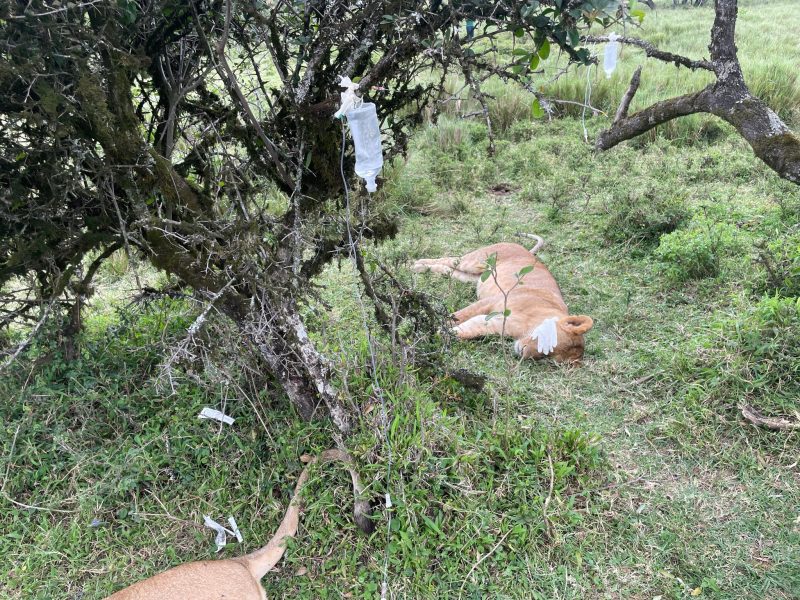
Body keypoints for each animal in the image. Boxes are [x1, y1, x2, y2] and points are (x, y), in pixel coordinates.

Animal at [412, 235, 593, 363]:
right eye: (548, 345)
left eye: (547, 358)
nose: (523, 353)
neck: (530, 324)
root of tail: (526, 250)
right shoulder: (492, 301)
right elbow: (459, 315)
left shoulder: (495, 322)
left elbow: (466, 330)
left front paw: (438, 333)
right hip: (475, 261)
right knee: (449, 259)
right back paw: (414, 264)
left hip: (472, 277)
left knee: (448, 270)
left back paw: (420, 268)